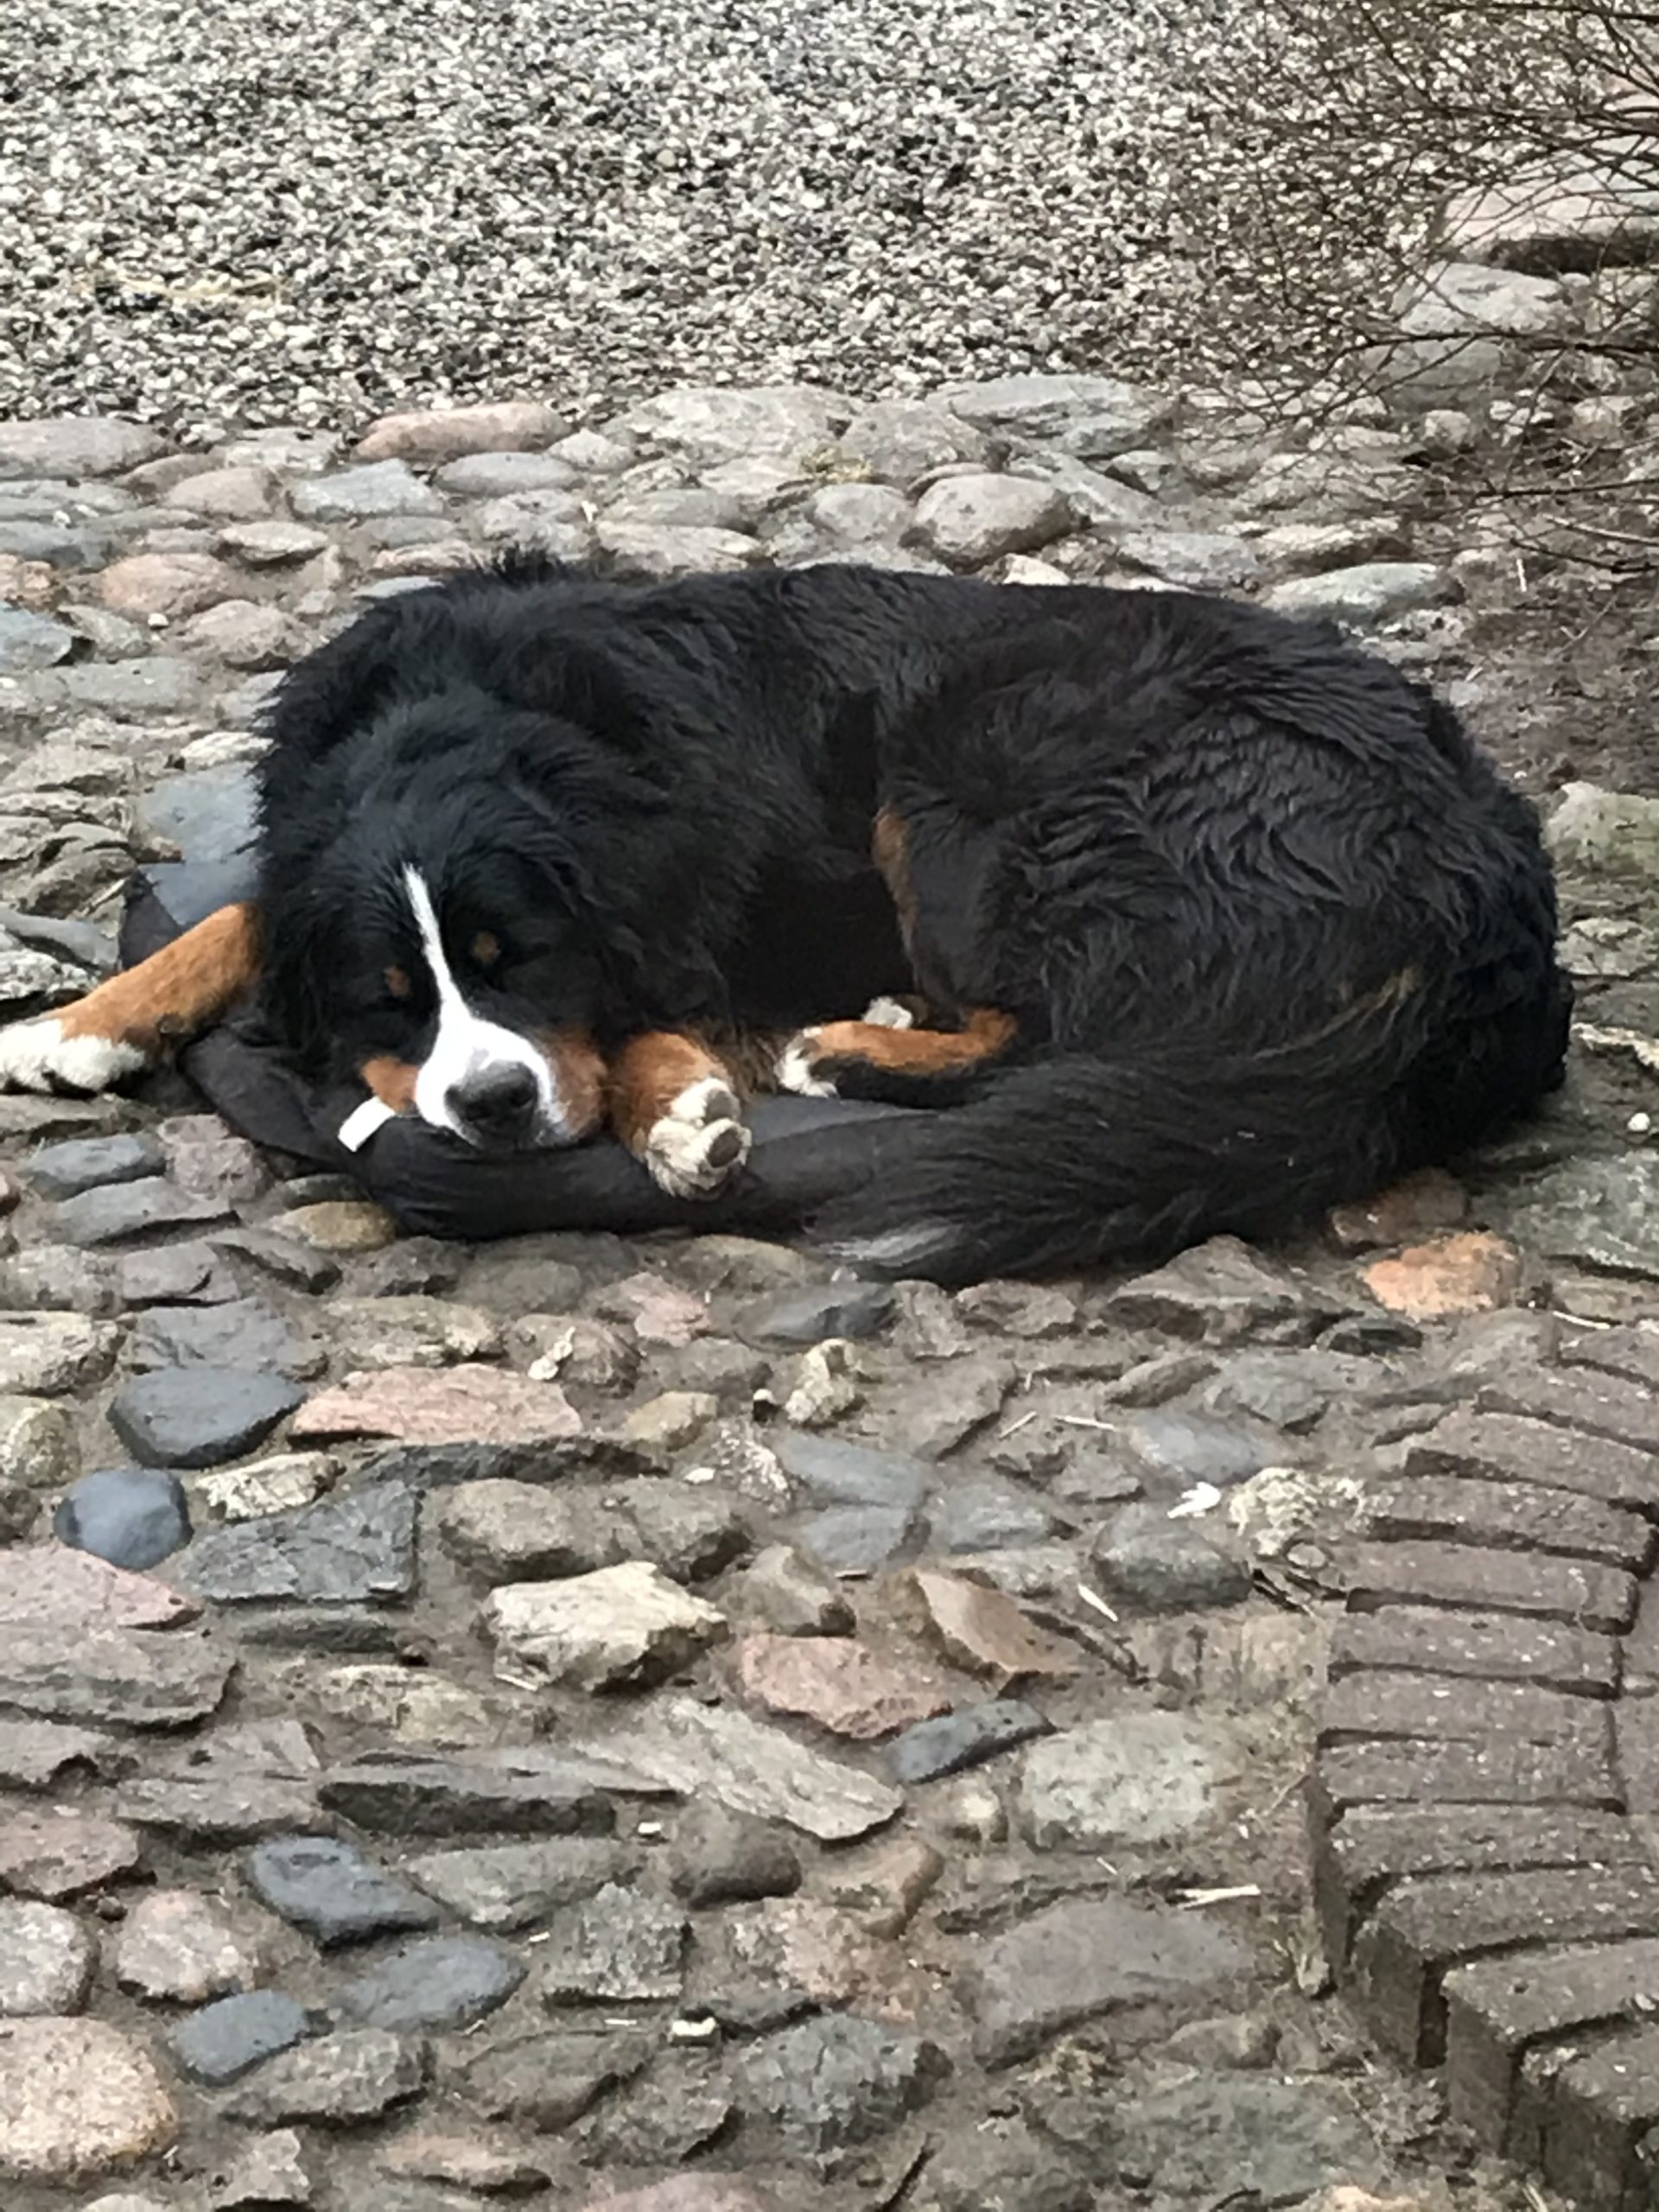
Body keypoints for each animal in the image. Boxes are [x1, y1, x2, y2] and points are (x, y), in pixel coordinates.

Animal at [0, 555, 1571, 1283]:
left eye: (524, 963)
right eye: (391, 996)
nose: (493, 1104)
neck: (475, 713)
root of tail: (1479, 870)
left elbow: (649, 1010)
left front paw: (681, 1108)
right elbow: (237, 915)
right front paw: (82, 1024)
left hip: (969, 784)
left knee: (1057, 1036)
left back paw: (849, 1050)